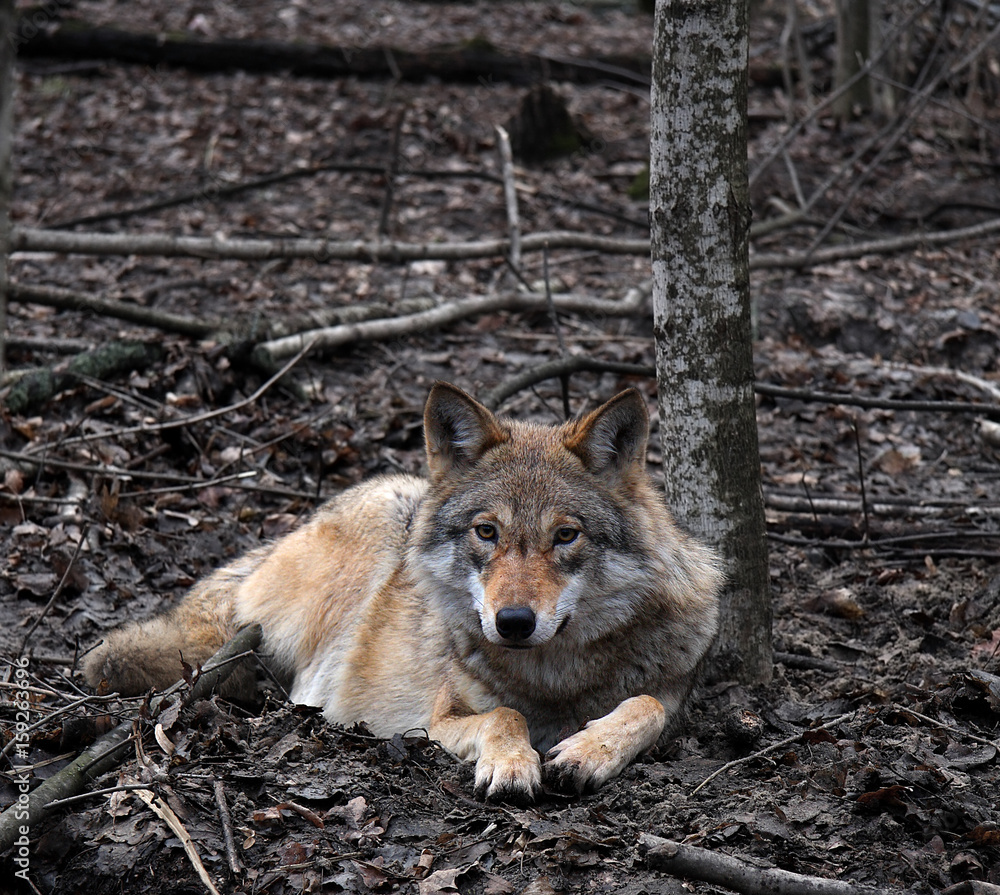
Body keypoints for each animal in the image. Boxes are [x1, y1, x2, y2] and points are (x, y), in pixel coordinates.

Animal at [84, 382, 723, 801]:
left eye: (566, 535)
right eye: (486, 532)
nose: (513, 621)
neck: (554, 678)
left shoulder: (673, 697)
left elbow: (643, 707)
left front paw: (589, 751)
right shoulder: (439, 720)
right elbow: (505, 714)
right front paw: (513, 765)